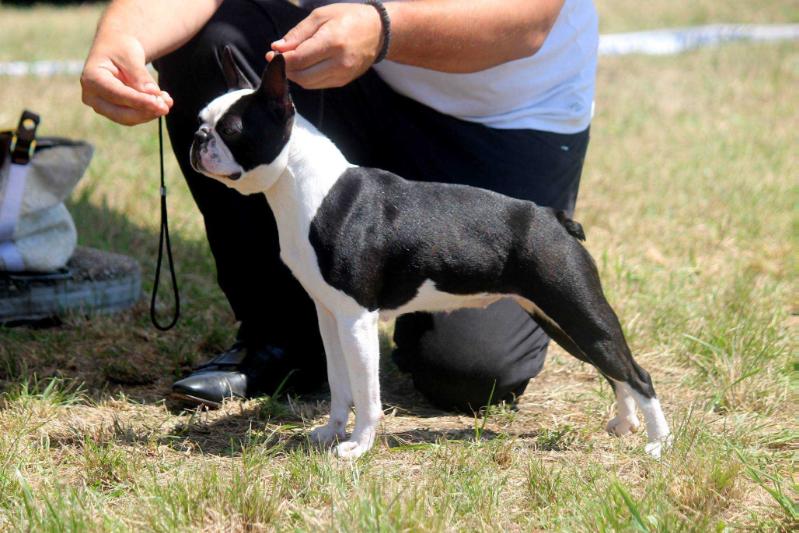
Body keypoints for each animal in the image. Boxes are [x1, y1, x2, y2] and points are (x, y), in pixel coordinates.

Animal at [191, 47, 672, 460]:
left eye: (231, 131)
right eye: (200, 120)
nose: (198, 138)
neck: (307, 187)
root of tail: (553, 218)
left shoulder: (358, 320)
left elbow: (366, 393)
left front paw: (358, 446)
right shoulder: (331, 316)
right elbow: (339, 384)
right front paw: (330, 433)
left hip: (575, 307)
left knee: (636, 373)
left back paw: (658, 442)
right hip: (561, 320)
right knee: (614, 370)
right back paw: (625, 424)